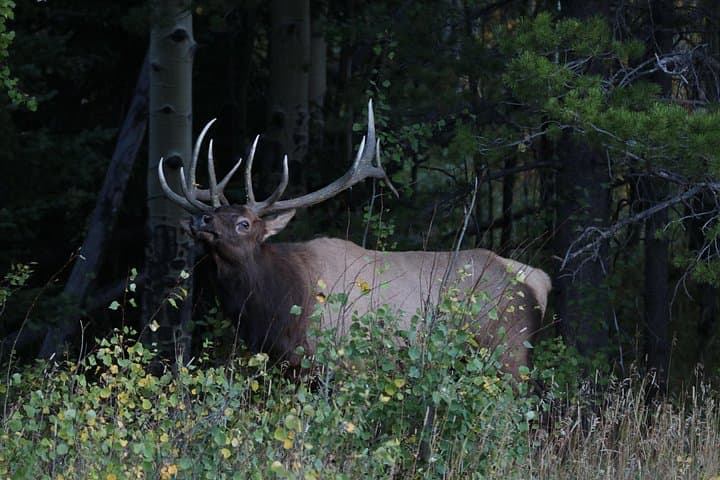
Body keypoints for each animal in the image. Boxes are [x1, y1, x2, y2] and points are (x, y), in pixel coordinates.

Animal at [158, 101, 551, 375]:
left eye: (244, 223)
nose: (201, 217)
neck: (281, 307)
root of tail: (538, 279)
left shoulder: (340, 360)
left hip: (509, 350)